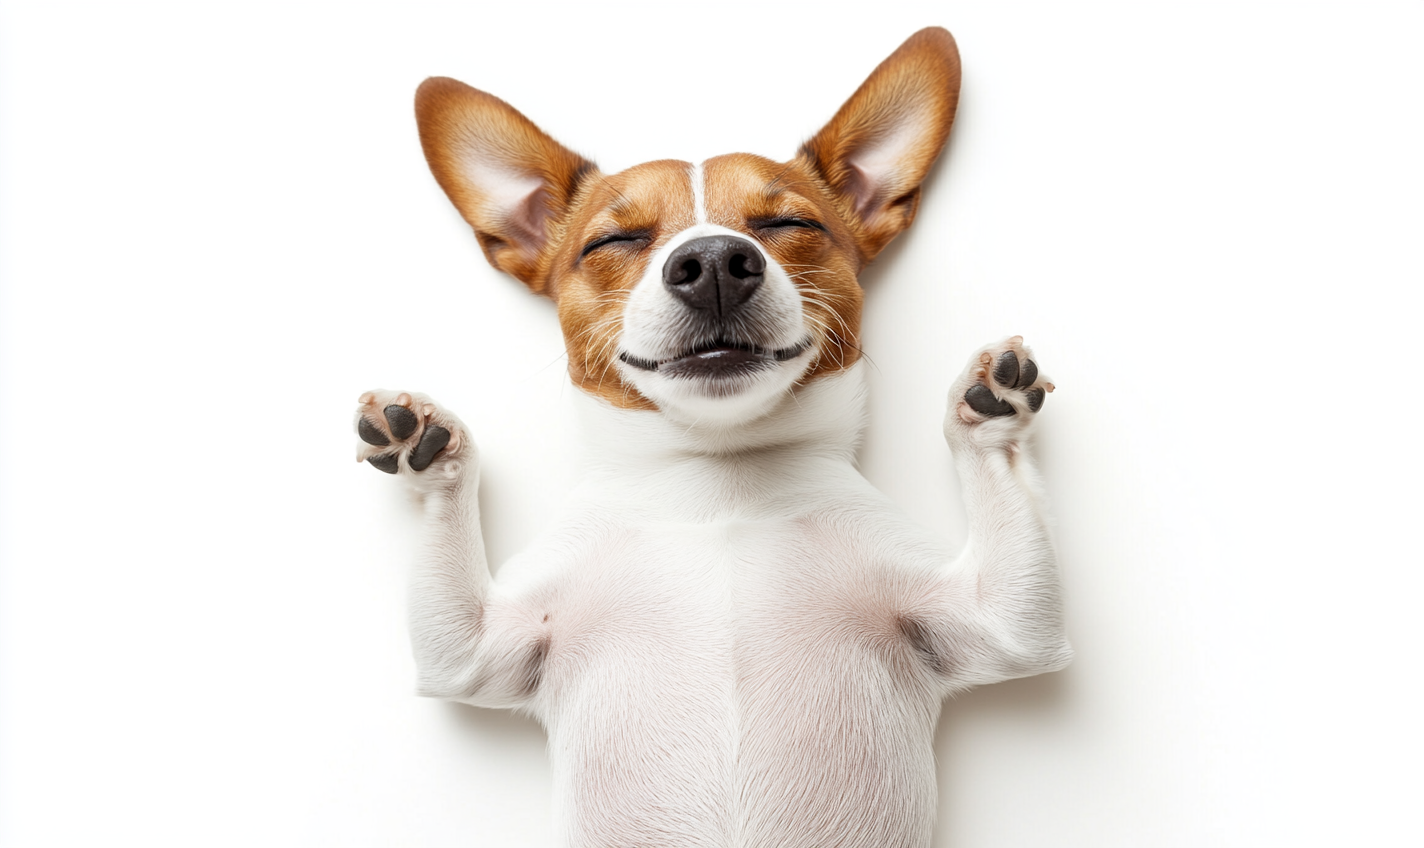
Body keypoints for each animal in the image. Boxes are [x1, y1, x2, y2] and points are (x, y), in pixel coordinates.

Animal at [353, 26, 1070, 848]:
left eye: (789, 225)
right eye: (617, 239)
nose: (716, 263)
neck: (715, 481)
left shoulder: (1007, 626)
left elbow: (1007, 536)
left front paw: (989, 408)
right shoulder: (469, 653)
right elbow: (452, 568)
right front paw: (426, 446)